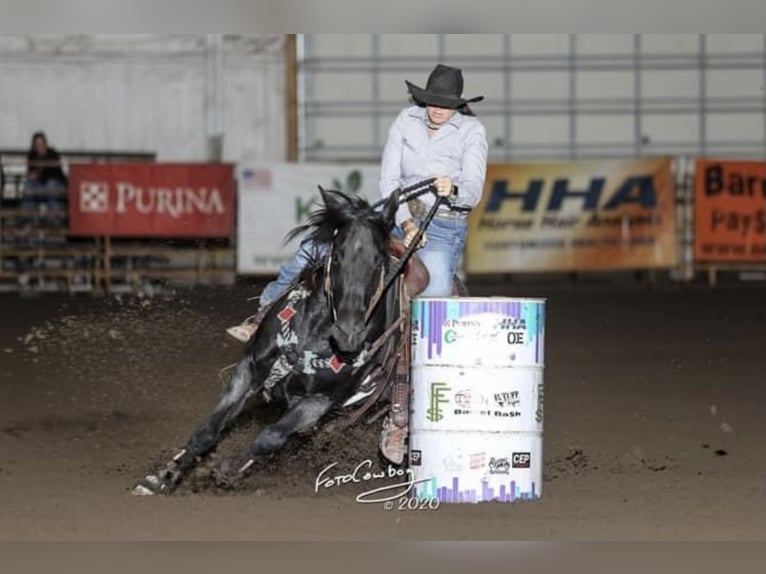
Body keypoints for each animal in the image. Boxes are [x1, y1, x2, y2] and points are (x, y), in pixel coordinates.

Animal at [133, 188, 404, 496]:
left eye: (378, 260)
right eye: (338, 255)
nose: (349, 334)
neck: (314, 336)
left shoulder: (320, 400)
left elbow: (270, 437)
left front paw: (230, 467)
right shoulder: (250, 367)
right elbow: (209, 429)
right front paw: (163, 478)